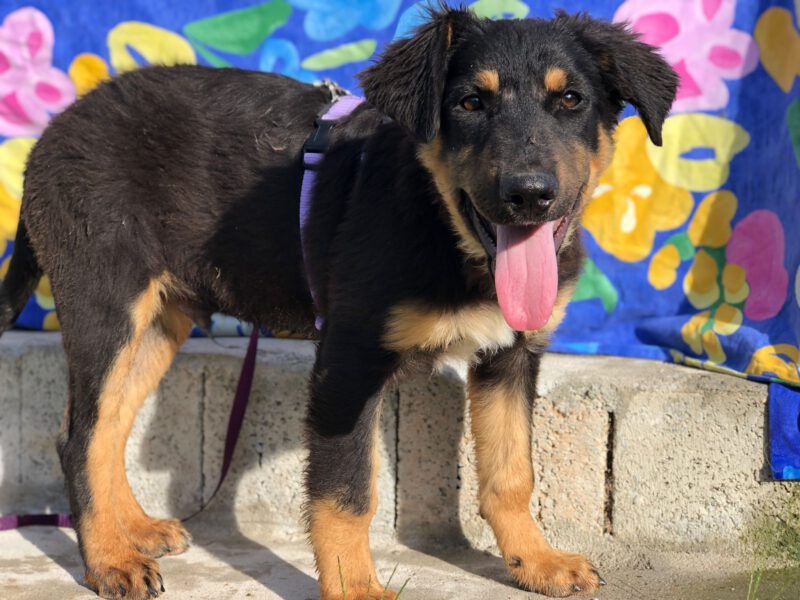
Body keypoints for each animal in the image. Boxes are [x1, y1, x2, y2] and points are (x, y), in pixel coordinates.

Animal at [0, 5, 676, 599]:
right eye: (469, 104)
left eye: (571, 101)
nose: (529, 195)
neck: (445, 229)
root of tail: (51, 134)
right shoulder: (347, 364)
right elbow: (347, 494)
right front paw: (356, 589)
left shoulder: (510, 355)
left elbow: (512, 473)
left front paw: (535, 562)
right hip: (106, 305)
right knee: (80, 438)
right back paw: (108, 559)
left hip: (161, 320)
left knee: (102, 428)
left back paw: (133, 532)